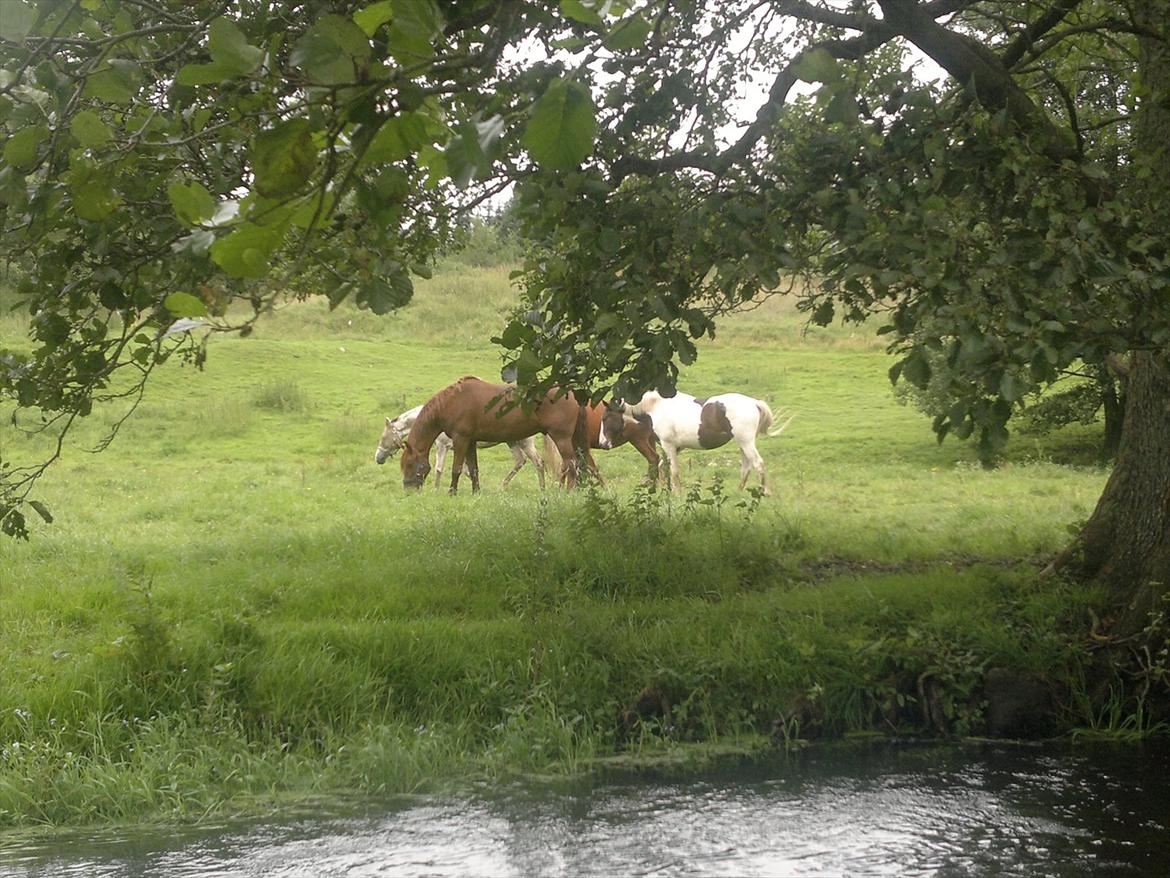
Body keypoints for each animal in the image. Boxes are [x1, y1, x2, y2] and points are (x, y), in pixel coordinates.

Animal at [374, 405, 547, 491]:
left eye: (383, 437)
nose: (378, 458)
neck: (436, 421)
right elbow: (466, 470)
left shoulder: (442, 447)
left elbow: (439, 469)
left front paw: (435, 490)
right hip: (512, 442)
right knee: (520, 461)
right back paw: (502, 486)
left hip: (524, 443)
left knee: (538, 462)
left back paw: (542, 489)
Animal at [402, 374, 585, 491]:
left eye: (409, 464)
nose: (408, 489)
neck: (452, 401)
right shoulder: (471, 442)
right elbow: (473, 469)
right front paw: (476, 492)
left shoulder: (460, 439)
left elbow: (456, 468)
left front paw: (452, 492)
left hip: (560, 438)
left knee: (570, 464)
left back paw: (569, 492)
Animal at [599, 391, 790, 496]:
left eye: (606, 417)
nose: (602, 443)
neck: (655, 407)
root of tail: (754, 403)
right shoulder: (675, 448)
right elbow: (662, 467)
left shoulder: (669, 446)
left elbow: (673, 471)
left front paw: (676, 493)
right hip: (743, 444)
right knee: (746, 468)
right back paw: (738, 492)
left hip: (746, 442)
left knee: (758, 464)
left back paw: (765, 492)